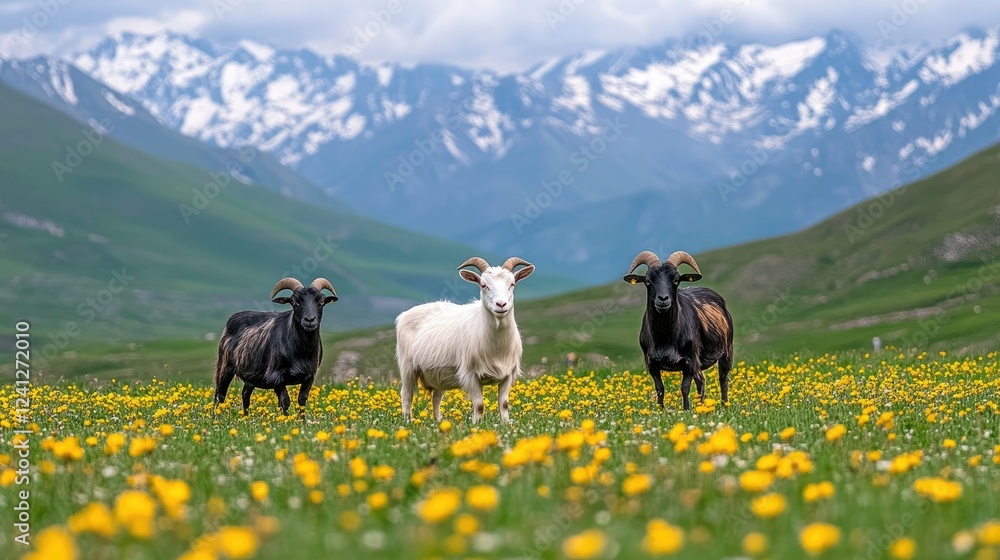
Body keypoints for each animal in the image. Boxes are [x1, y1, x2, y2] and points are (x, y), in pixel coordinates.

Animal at [214, 277, 338, 415]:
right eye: (294, 302)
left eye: (321, 302)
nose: (310, 320)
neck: (302, 351)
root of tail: (233, 317)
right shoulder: (276, 377)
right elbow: (285, 402)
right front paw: (285, 419)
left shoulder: (309, 376)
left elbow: (301, 401)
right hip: (225, 366)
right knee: (219, 395)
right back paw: (215, 417)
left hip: (251, 374)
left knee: (245, 395)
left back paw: (246, 417)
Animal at [395, 256, 535, 424]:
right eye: (484, 285)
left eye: (512, 284)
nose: (501, 304)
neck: (497, 346)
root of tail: (404, 314)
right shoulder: (470, 374)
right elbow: (479, 405)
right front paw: (477, 425)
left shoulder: (508, 375)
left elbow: (504, 404)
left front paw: (506, 424)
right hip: (407, 367)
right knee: (406, 395)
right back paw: (407, 422)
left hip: (439, 375)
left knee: (436, 398)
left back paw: (438, 422)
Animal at [623, 250, 734, 410]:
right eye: (648, 281)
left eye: (676, 280)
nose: (663, 299)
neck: (665, 338)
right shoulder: (652, 363)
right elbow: (660, 388)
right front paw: (660, 409)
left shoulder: (688, 361)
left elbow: (685, 388)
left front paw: (686, 409)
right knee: (701, 380)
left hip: (725, 351)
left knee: (721, 379)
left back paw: (723, 405)